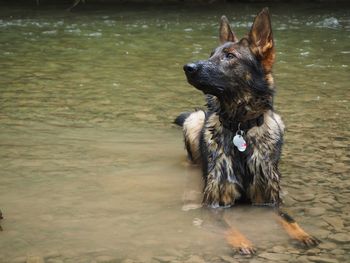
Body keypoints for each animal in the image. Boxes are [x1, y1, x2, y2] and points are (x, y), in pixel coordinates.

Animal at [175, 7, 320, 256]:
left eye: (230, 56)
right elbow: (227, 226)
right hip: (195, 120)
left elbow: (288, 218)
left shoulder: (269, 200)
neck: (240, 127)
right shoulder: (214, 203)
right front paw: (242, 241)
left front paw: (303, 234)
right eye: (211, 54)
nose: (188, 67)